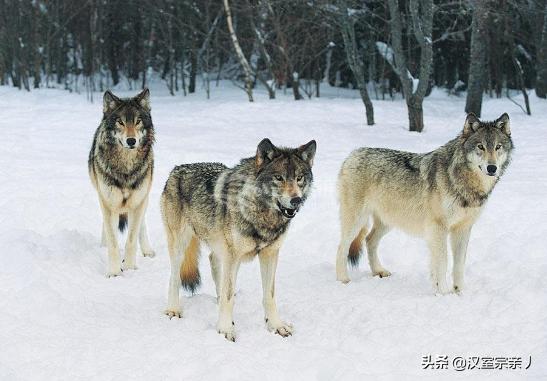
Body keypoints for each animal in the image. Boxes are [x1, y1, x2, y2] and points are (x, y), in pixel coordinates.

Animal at [88, 88, 156, 276]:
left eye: (138, 121)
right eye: (120, 122)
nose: (131, 141)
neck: (126, 167)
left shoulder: (138, 201)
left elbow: (131, 240)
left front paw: (130, 268)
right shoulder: (108, 201)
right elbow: (113, 241)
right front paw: (114, 272)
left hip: (143, 197)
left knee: (142, 225)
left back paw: (147, 250)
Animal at [161, 138, 316, 340]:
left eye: (299, 178)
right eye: (279, 178)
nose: (296, 200)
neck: (262, 214)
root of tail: (176, 169)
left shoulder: (270, 254)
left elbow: (269, 295)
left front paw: (276, 325)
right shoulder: (234, 257)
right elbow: (229, 298)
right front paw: (225, 329)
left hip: (220, 249)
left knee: (214, 263)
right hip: (181, 246)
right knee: (174, 277)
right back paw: (173, 309)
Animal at [336, 113, 512, 294]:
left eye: (498, 147)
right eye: (480, 147)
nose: (492, 168)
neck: (463, 181)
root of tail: (352, 155)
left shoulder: (463, 229)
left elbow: (459, 265)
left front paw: (459, 292)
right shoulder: (438, 228)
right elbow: (443, 262)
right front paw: (444, 292)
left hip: (388, 221)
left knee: (369, 240)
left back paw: (378, 271)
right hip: (357, 221)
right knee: (342, 247)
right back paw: (343, 279)